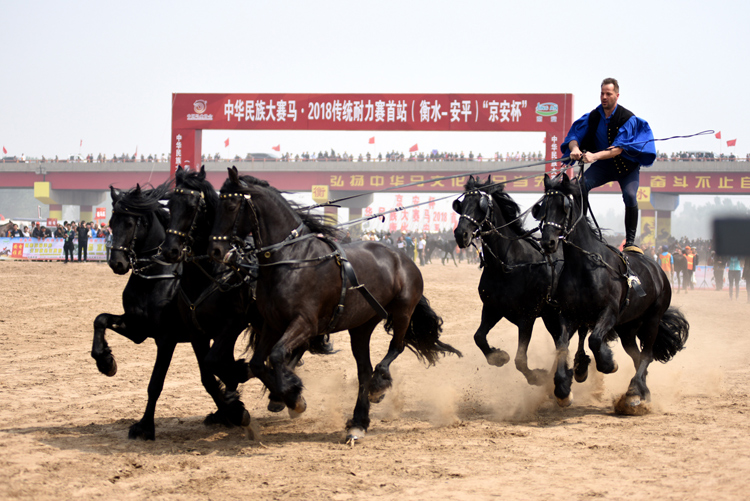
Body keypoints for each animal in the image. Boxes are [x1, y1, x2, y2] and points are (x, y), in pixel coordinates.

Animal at [90, 183, 256, 438]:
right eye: (111, 221)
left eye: (130, 223)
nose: (117, 263)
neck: (155, 279)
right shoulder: (138, 329)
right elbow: (100, 320)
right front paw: (105, 361)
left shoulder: (166, 338)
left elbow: (156, 383)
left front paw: (145, 426)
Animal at [209, 168, 462, 442]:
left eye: (231, 205)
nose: (216, 250)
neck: (294, 259)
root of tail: (402, 257)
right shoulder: (273, 324)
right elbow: (258, 363)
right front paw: (289, 395)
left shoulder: (305, 323)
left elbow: (276, 355)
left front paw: (293, 396)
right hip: (361, 325)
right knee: (364, 369)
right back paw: (359, 422)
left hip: (403, 311)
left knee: (396, 348)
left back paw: (378, 385)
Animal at [456, 174, 592, 388]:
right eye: (461, 204)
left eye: (481, 205)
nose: (460, 234)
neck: (508, 266)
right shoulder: (493, 308)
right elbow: (479, 337)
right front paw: (498, 356)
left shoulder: (527, 316)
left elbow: (520, 359)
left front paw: (537, 376)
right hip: (550, 316)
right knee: (561, 340)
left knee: (577, 335)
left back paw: (577, 369)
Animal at [536, 173, 692, 414]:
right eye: (543, 206)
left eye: (564, 207)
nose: (548, 242)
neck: (585, 266)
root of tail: (657, 269)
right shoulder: (569, 314)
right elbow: (562, 345)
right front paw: (562, 388)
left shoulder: (608, 312)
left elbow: (595, 340)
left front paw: (608, 363)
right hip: (628, 327)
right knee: (637, 356)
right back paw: (642, 391)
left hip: (652, 319)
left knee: (646, 355)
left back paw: (633, 393)